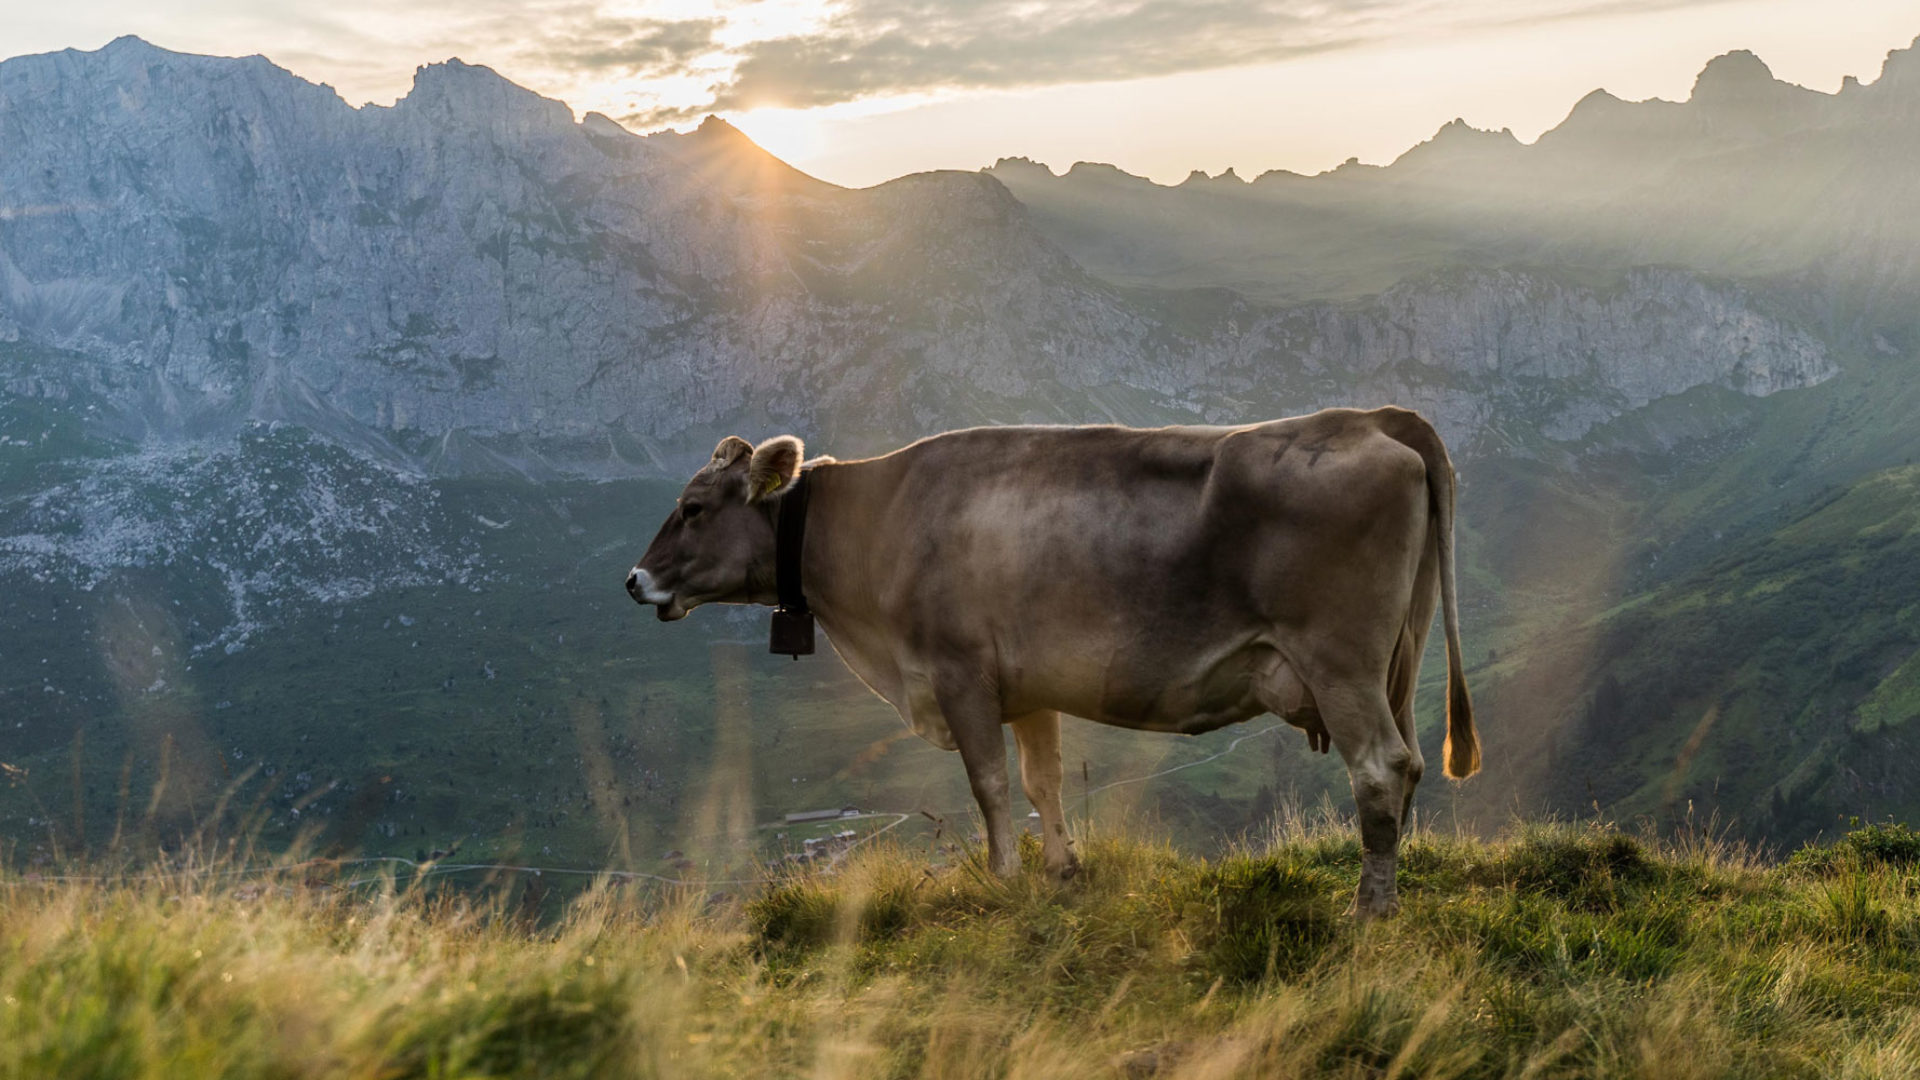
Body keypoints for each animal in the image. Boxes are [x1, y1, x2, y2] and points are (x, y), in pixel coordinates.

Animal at [629, 405, 1482, 914]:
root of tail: (1365, 419)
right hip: (1395, 662)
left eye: (693, 508)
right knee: (1406, 766)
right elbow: (1043, 781)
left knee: (1380, 768)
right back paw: (1388, 888)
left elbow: (990, 784)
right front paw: (1062, 870)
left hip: (1339, 661)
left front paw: (1003, 876)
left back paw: (1369, 909)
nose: (635, 580)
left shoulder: (960, 673)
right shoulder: (1029, 687)